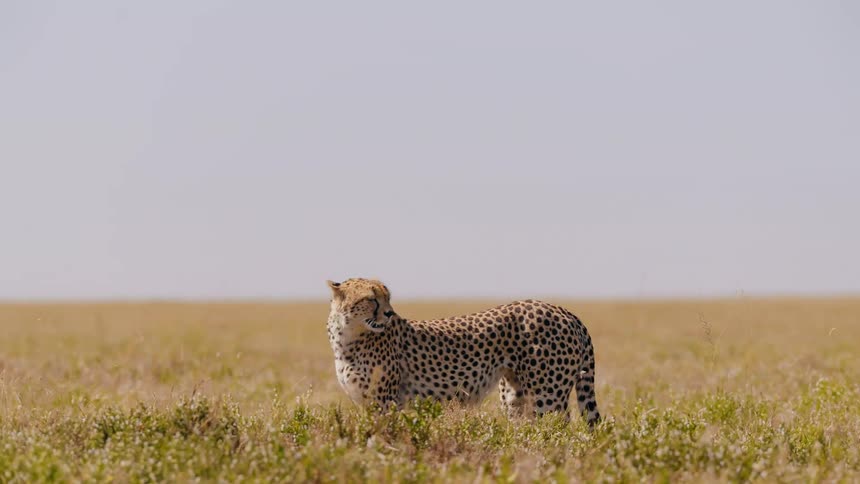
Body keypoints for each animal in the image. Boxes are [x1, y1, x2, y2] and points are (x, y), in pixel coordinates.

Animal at [325, 278, 601, 425]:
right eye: (371, 299)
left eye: (387, 297)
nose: (389, 313)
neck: (348, 338)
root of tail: (563, 310)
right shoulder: (366, 402)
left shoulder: (385, 401)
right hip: (514, 396)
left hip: (547, 396)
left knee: (555, 431)